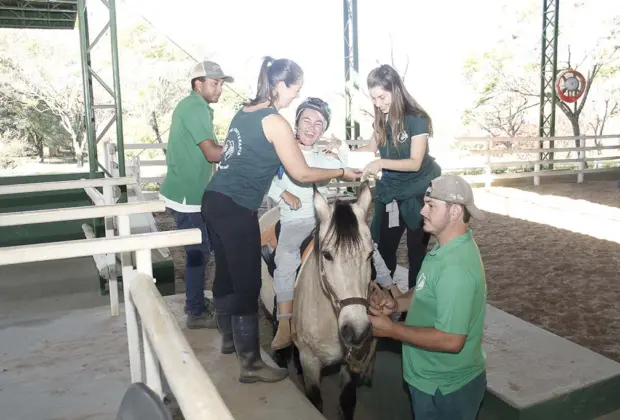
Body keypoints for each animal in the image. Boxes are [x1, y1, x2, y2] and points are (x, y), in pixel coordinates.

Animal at [258, 182, 378, 420]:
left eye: (370, 254)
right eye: (327, 255)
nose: (357, 331)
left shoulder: (349, 363)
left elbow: (347, 401)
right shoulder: (311, 361)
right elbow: (315, 401)